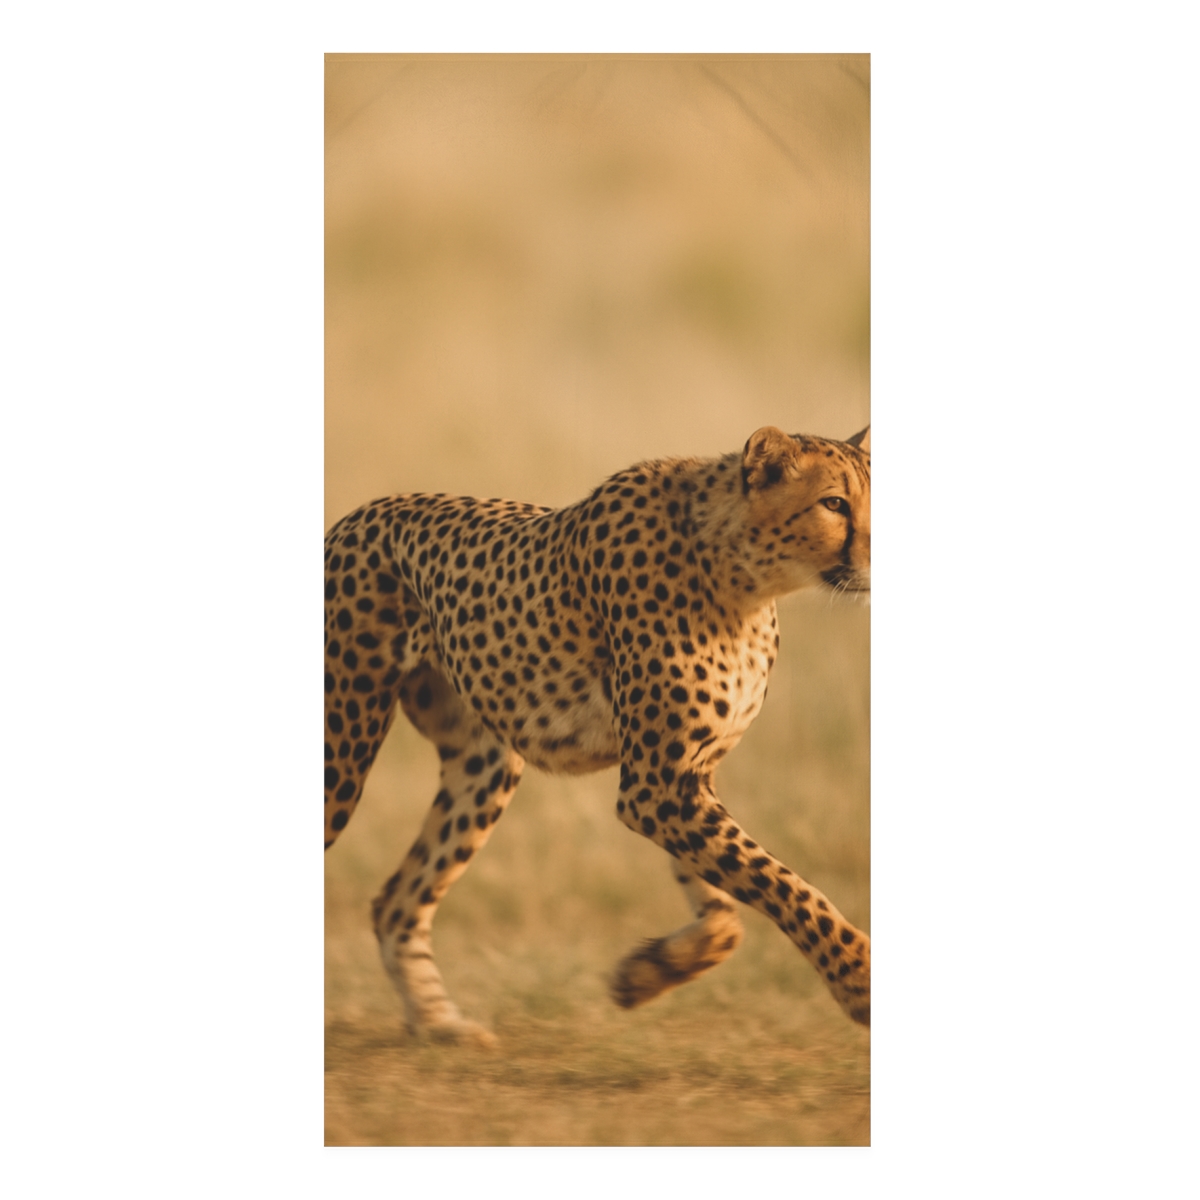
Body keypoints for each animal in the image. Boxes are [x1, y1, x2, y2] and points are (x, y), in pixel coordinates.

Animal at [324, 424, 870, 1046]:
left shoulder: (684, 777)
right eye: (834, 503)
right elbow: (786, 885)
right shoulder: (657, 787)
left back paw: (440, 1024)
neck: (743, 577)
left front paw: (643, 975)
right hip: (342, 752)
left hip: (484, 765)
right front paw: (859, 978)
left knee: (396, 901)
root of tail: (358, 515)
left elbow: (728, 910)